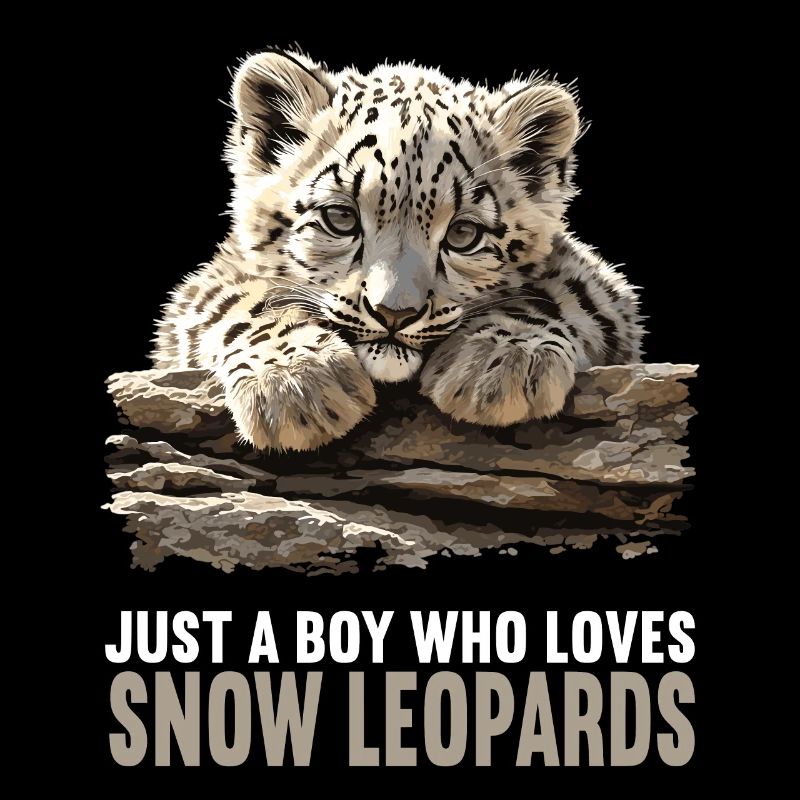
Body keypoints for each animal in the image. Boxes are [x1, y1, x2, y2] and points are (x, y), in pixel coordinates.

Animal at [152, 48, 644, 452]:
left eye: (463, 233)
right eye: (342, 217)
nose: (394, 313)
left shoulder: (603, 286)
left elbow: (557, 293)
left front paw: (501, 363)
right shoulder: (203, 288)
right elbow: (242, 299)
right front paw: (294, 384)